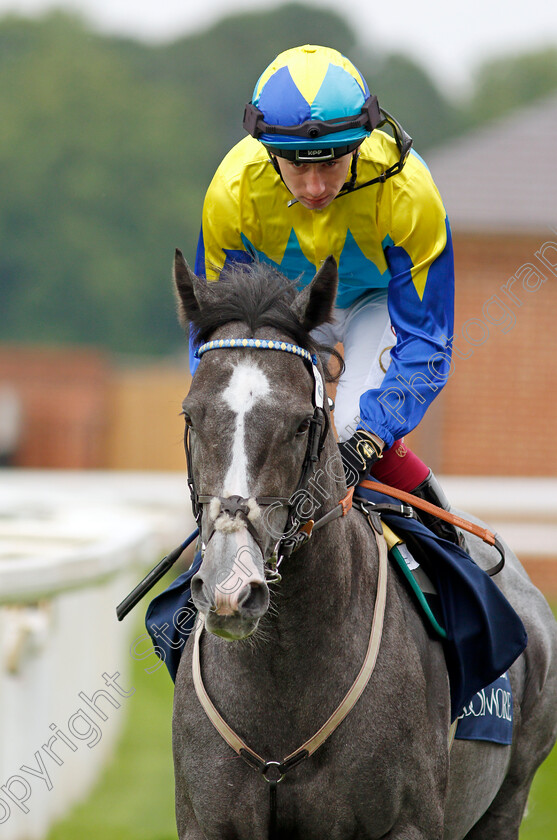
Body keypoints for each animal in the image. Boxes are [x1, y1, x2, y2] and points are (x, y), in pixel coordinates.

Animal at [170, 251, 556, 840]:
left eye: (302, 423)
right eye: (191, 415)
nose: (229, 587)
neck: (282, 683)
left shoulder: (409, 823)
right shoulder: (206, 822)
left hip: (507, 800)